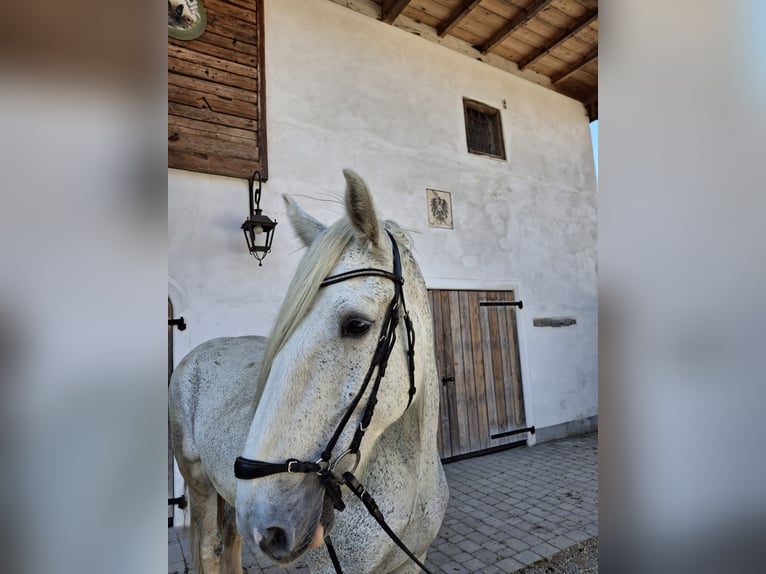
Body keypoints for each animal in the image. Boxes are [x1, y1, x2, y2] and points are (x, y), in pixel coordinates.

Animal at [169, 170, 449, 573]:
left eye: (357, 325)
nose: (265, 519)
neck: (412, 475)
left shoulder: (412, 561)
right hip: (198, 479)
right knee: (210, 548)